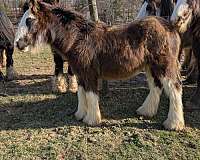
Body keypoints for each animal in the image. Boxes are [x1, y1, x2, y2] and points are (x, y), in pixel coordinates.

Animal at [16, 0, 184, 131]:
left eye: (29, 20)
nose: (18, 44)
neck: (78, 38)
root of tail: (169, 26)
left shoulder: (89, 74)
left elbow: (91, 95)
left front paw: (91, 120)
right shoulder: (80, 74)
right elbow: (81, 94)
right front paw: (79, 115)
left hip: (165, 66)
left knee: (174, 88)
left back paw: (174, 124)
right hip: (151, 67)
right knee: (156, 86)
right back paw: (146, 111)